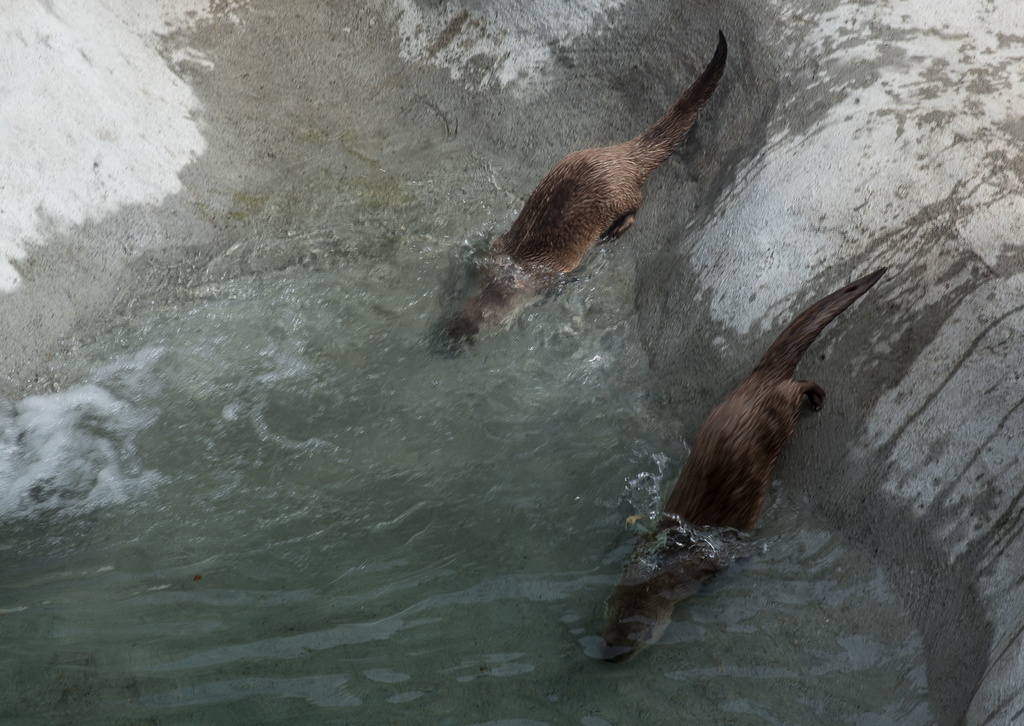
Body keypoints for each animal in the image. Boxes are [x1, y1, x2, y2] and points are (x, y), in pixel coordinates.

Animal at [440, 32, 729, 350]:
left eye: (474, 333)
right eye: (451, 319)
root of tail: (623, 157)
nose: (448, 342)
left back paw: (616, 230)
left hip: (619, 195)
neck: (519, 269)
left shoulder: (550, 277)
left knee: (638, 202)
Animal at [598, 268, 888, 663]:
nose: (610, 655)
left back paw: (818, 397)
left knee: (796, 385)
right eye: (607, 625)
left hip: (781, 412)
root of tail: (757, 381)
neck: (670, 564)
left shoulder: (707, 563)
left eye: (635, 640)